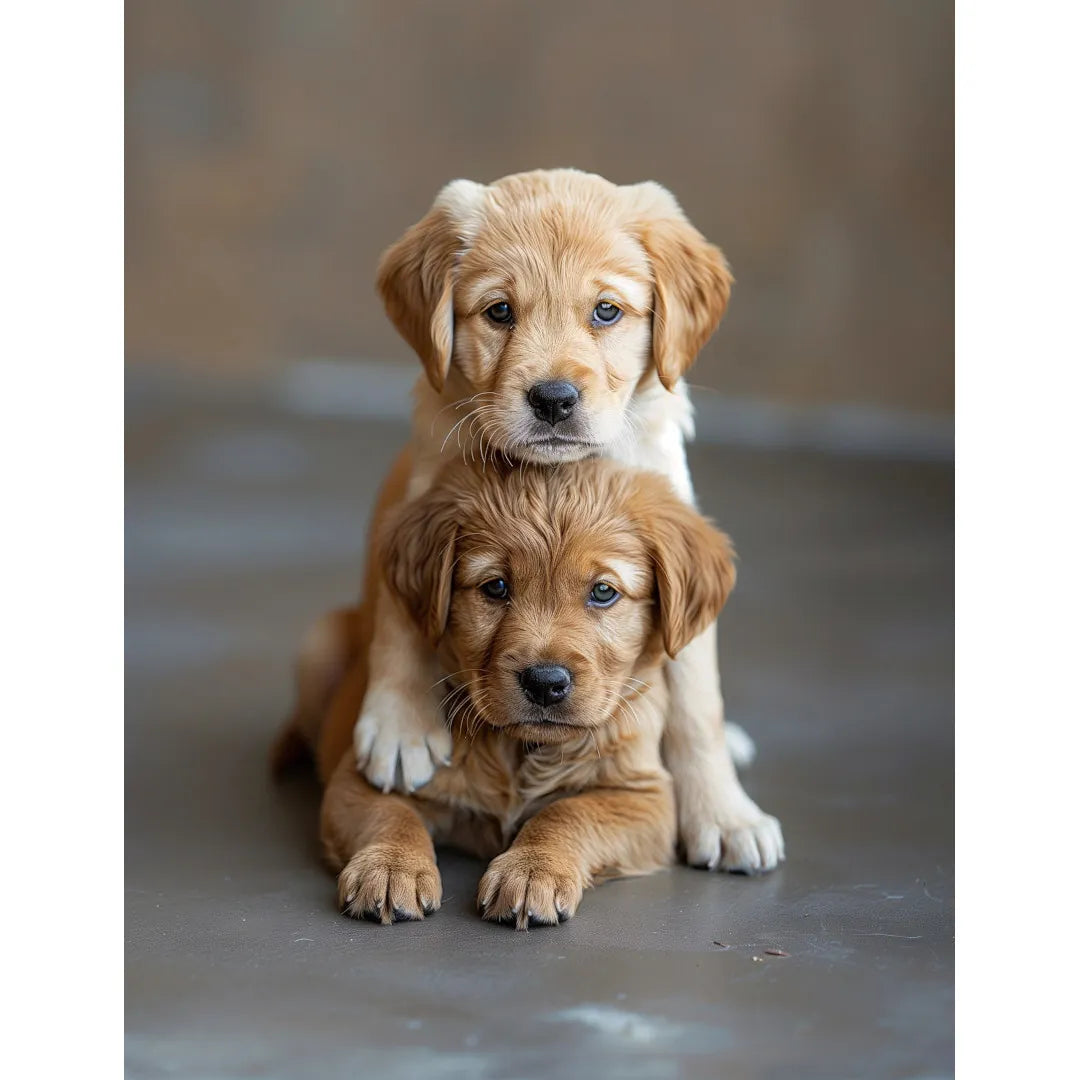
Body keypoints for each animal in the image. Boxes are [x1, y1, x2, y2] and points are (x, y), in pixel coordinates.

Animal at [274, 457, 738, 928]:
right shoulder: (361, 776)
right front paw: (389, 865)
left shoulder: (645, 796)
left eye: (603, 591)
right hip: (320, 644)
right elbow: (392, 815)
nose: (545, 682)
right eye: (495, 587)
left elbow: (567, 812)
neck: (518, 749)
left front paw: (533, 870)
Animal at [354, 170, 786, 876]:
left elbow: (697, 700)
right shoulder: (417, 501)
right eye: (500, 311)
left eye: (606, 311)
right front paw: (399, 723)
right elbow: (400, 616)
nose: (553, 399)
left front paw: (725, 816)